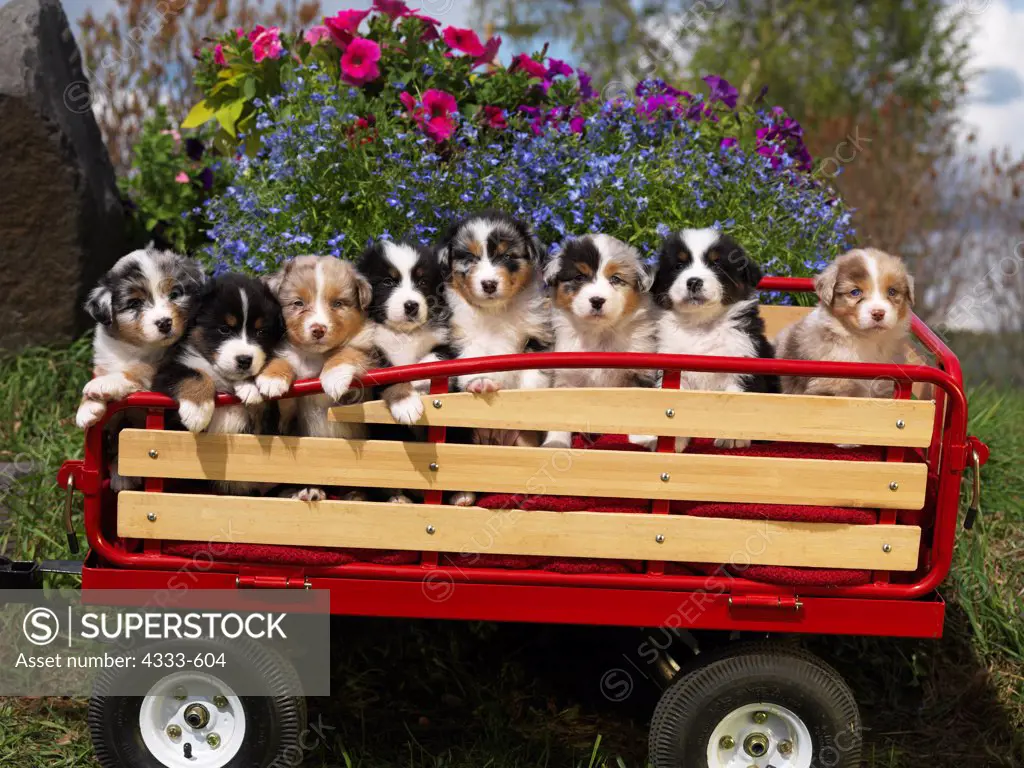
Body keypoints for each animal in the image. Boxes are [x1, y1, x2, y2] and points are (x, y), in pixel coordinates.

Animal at [151, 274, 282, 495]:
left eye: (261, 332)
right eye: (224, 329)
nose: (244, 360)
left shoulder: (265, 427)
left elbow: (262, 407)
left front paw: (250, 388)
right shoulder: (166, 372)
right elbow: (194, 375)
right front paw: (198, 411)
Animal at [256, 256, 376, 501]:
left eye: (338, 304)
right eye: (298, 303)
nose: (318, 329)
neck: (315, 356)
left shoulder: (365, 356)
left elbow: (348, 351)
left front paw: (333, 376)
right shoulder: (287, 417)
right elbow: (283, 362)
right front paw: (272, 378)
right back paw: (309, 491)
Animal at [540, 234, 659, 450]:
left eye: (615, 279)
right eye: (579, 277)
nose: (597, 300)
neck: (600, 334)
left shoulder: (638, 372)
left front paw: (644, 439)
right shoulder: (565, 376)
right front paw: (555, 442)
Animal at [651, 225, 778, 450]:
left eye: (716, 264)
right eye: (679, 265)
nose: (693, 282)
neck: (701, 326)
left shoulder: (741, 360)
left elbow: (735, 398)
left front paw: (732, 438)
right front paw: (672, 442)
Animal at [778, 249, 917, 399]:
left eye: (892, 291)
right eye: (855, 292)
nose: (878, 313)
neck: (866, 341)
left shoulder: (884, 388)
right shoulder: (828, 387)